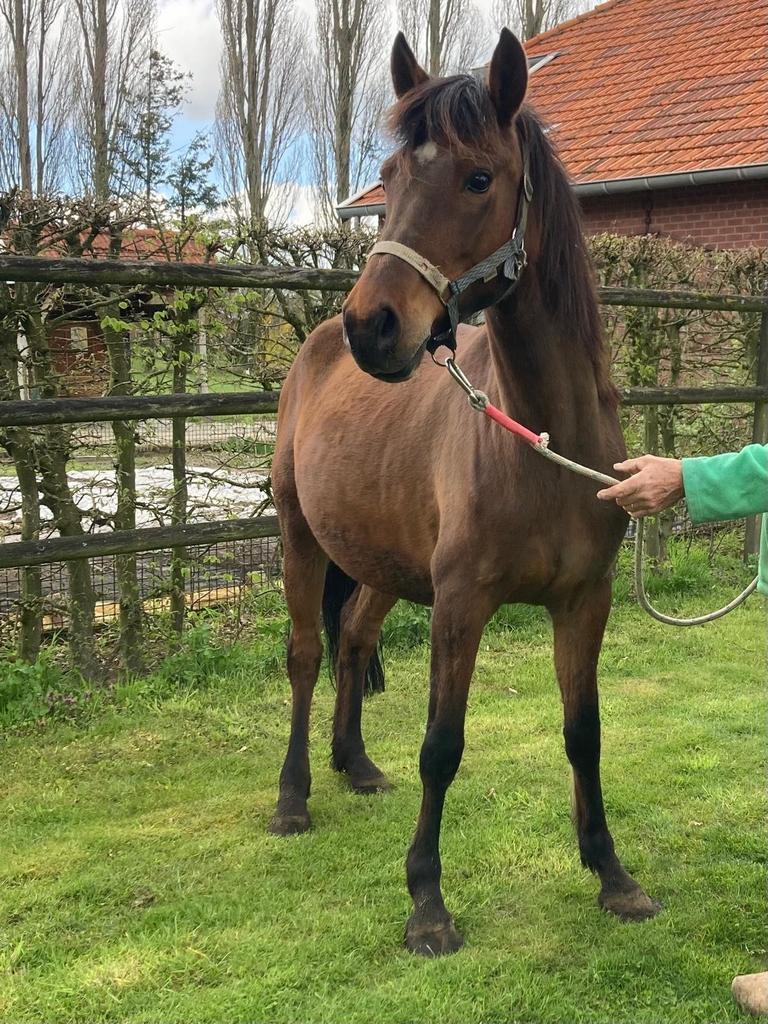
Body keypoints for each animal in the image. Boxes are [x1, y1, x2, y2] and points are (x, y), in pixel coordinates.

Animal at [269, 28, 661, 956]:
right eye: (389, 174)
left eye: (479, 178)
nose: (373, 327)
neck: (543, 443)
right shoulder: (459, 604)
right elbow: (441, 746)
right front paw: (426, 902)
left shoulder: (584, 602)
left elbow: (584, 732)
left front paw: (611, 873)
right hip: (300, 537)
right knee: (305, 654)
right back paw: (295, 797)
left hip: (378, 561)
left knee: (353, 638)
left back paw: (355, 764)